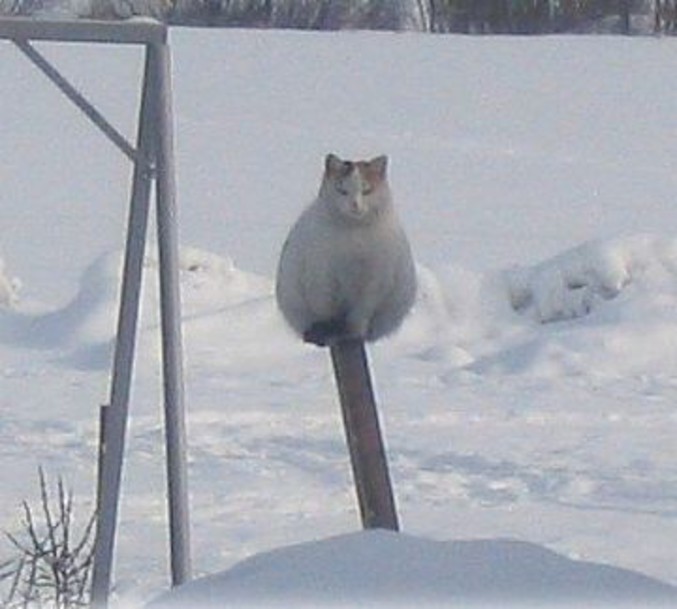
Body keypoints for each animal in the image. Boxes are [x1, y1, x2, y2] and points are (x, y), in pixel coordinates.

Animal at [276, 153, 418, 346]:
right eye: (341, 190)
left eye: (367, 190)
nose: (355, 205)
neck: (353, 235)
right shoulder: (321, 277)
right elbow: (325, 310)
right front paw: (327, 331)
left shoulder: (373, 283)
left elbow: (359, 315)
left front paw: (353, 332)